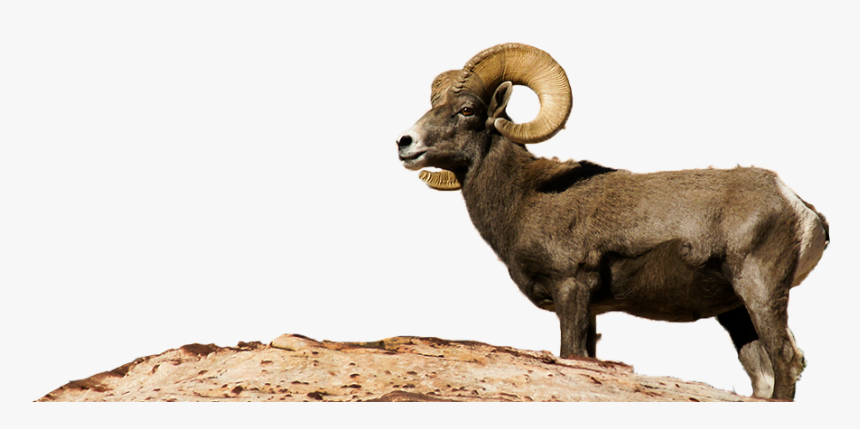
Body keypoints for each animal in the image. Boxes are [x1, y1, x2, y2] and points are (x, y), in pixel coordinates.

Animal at [395, 43, 829, 400]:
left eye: (467, 110)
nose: (405, 143)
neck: (524, 197)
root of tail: (799, 207)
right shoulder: (590, 309)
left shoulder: (571, 288)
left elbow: (570, 353)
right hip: (735, 312)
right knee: (764, 377)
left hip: (759, 291)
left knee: (787, 360)